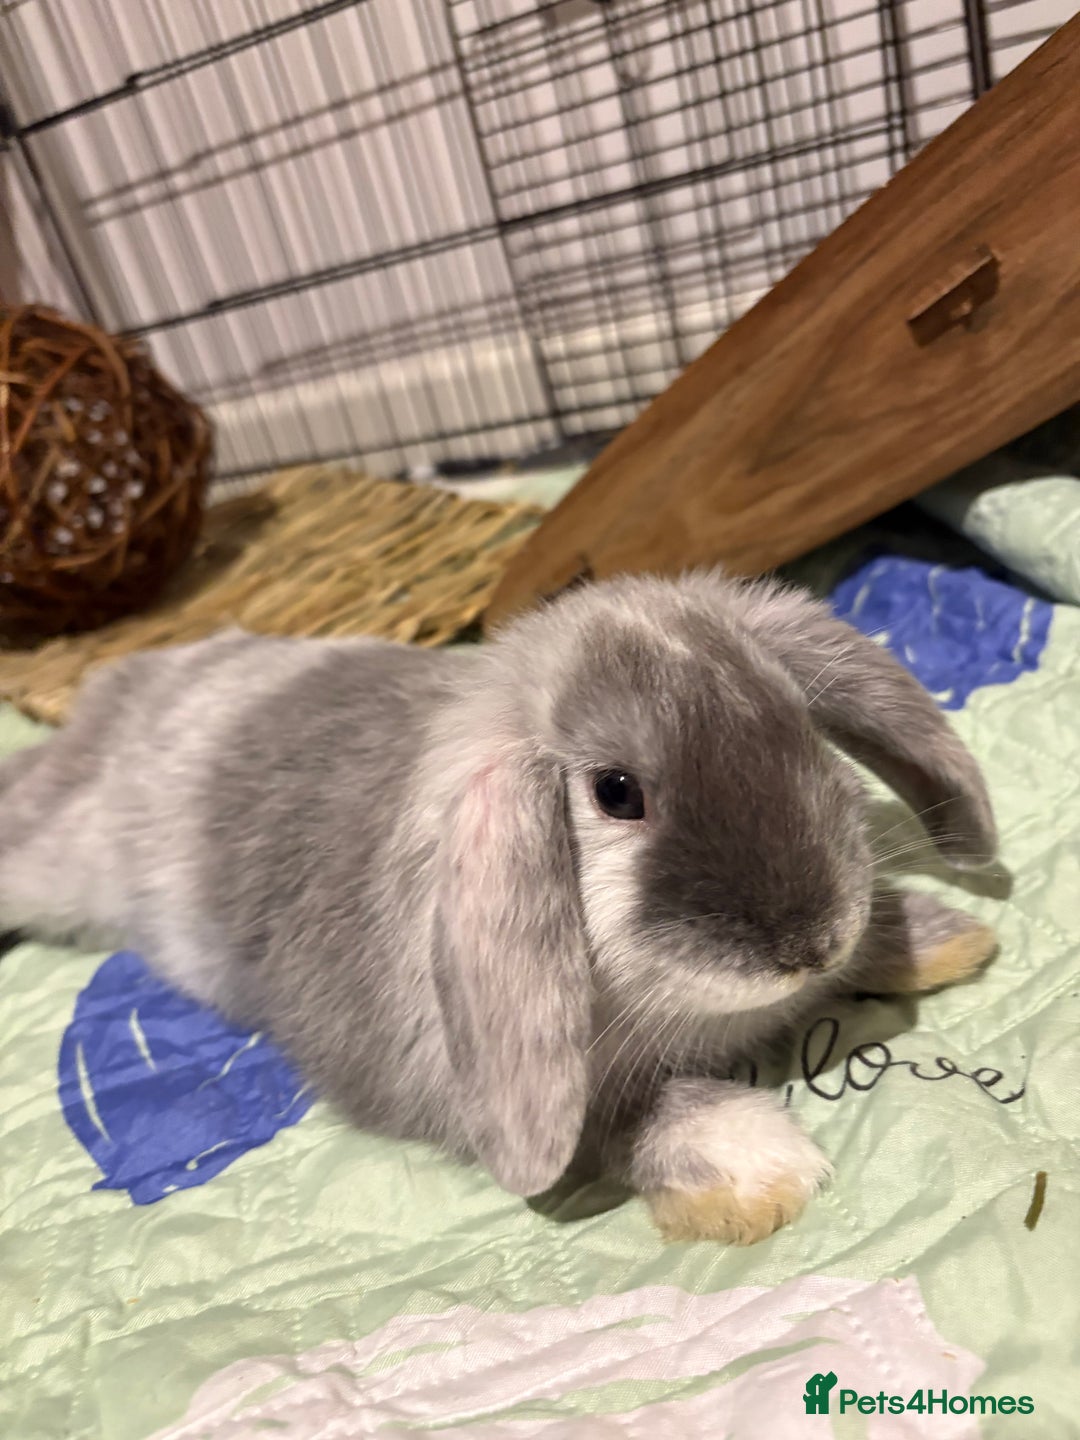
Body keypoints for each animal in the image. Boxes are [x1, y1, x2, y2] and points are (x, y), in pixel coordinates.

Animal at [0, 570, 998, 1244]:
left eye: (798, 728)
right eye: (616, 792)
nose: (809, 946)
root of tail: (122, 686)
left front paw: (940, 939)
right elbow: (618, 1117)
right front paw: (754, 1169)